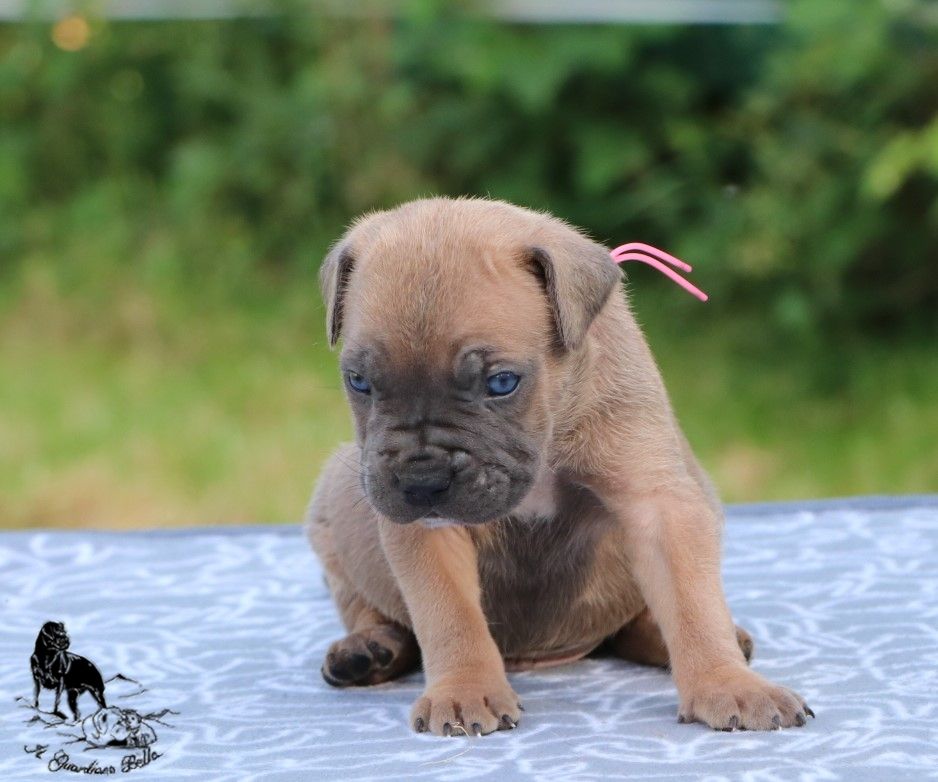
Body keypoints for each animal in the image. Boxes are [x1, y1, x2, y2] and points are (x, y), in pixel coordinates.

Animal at [306, 197, 813, 736]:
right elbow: (450, 614)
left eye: (502, 382)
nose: (422, 481)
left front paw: (727, 683)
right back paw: (369, 649)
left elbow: (693, 602)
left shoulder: (658, 504)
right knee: (361, 602)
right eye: (359, 382)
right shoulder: (429, 532)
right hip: (334, 504)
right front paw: (463, 689)